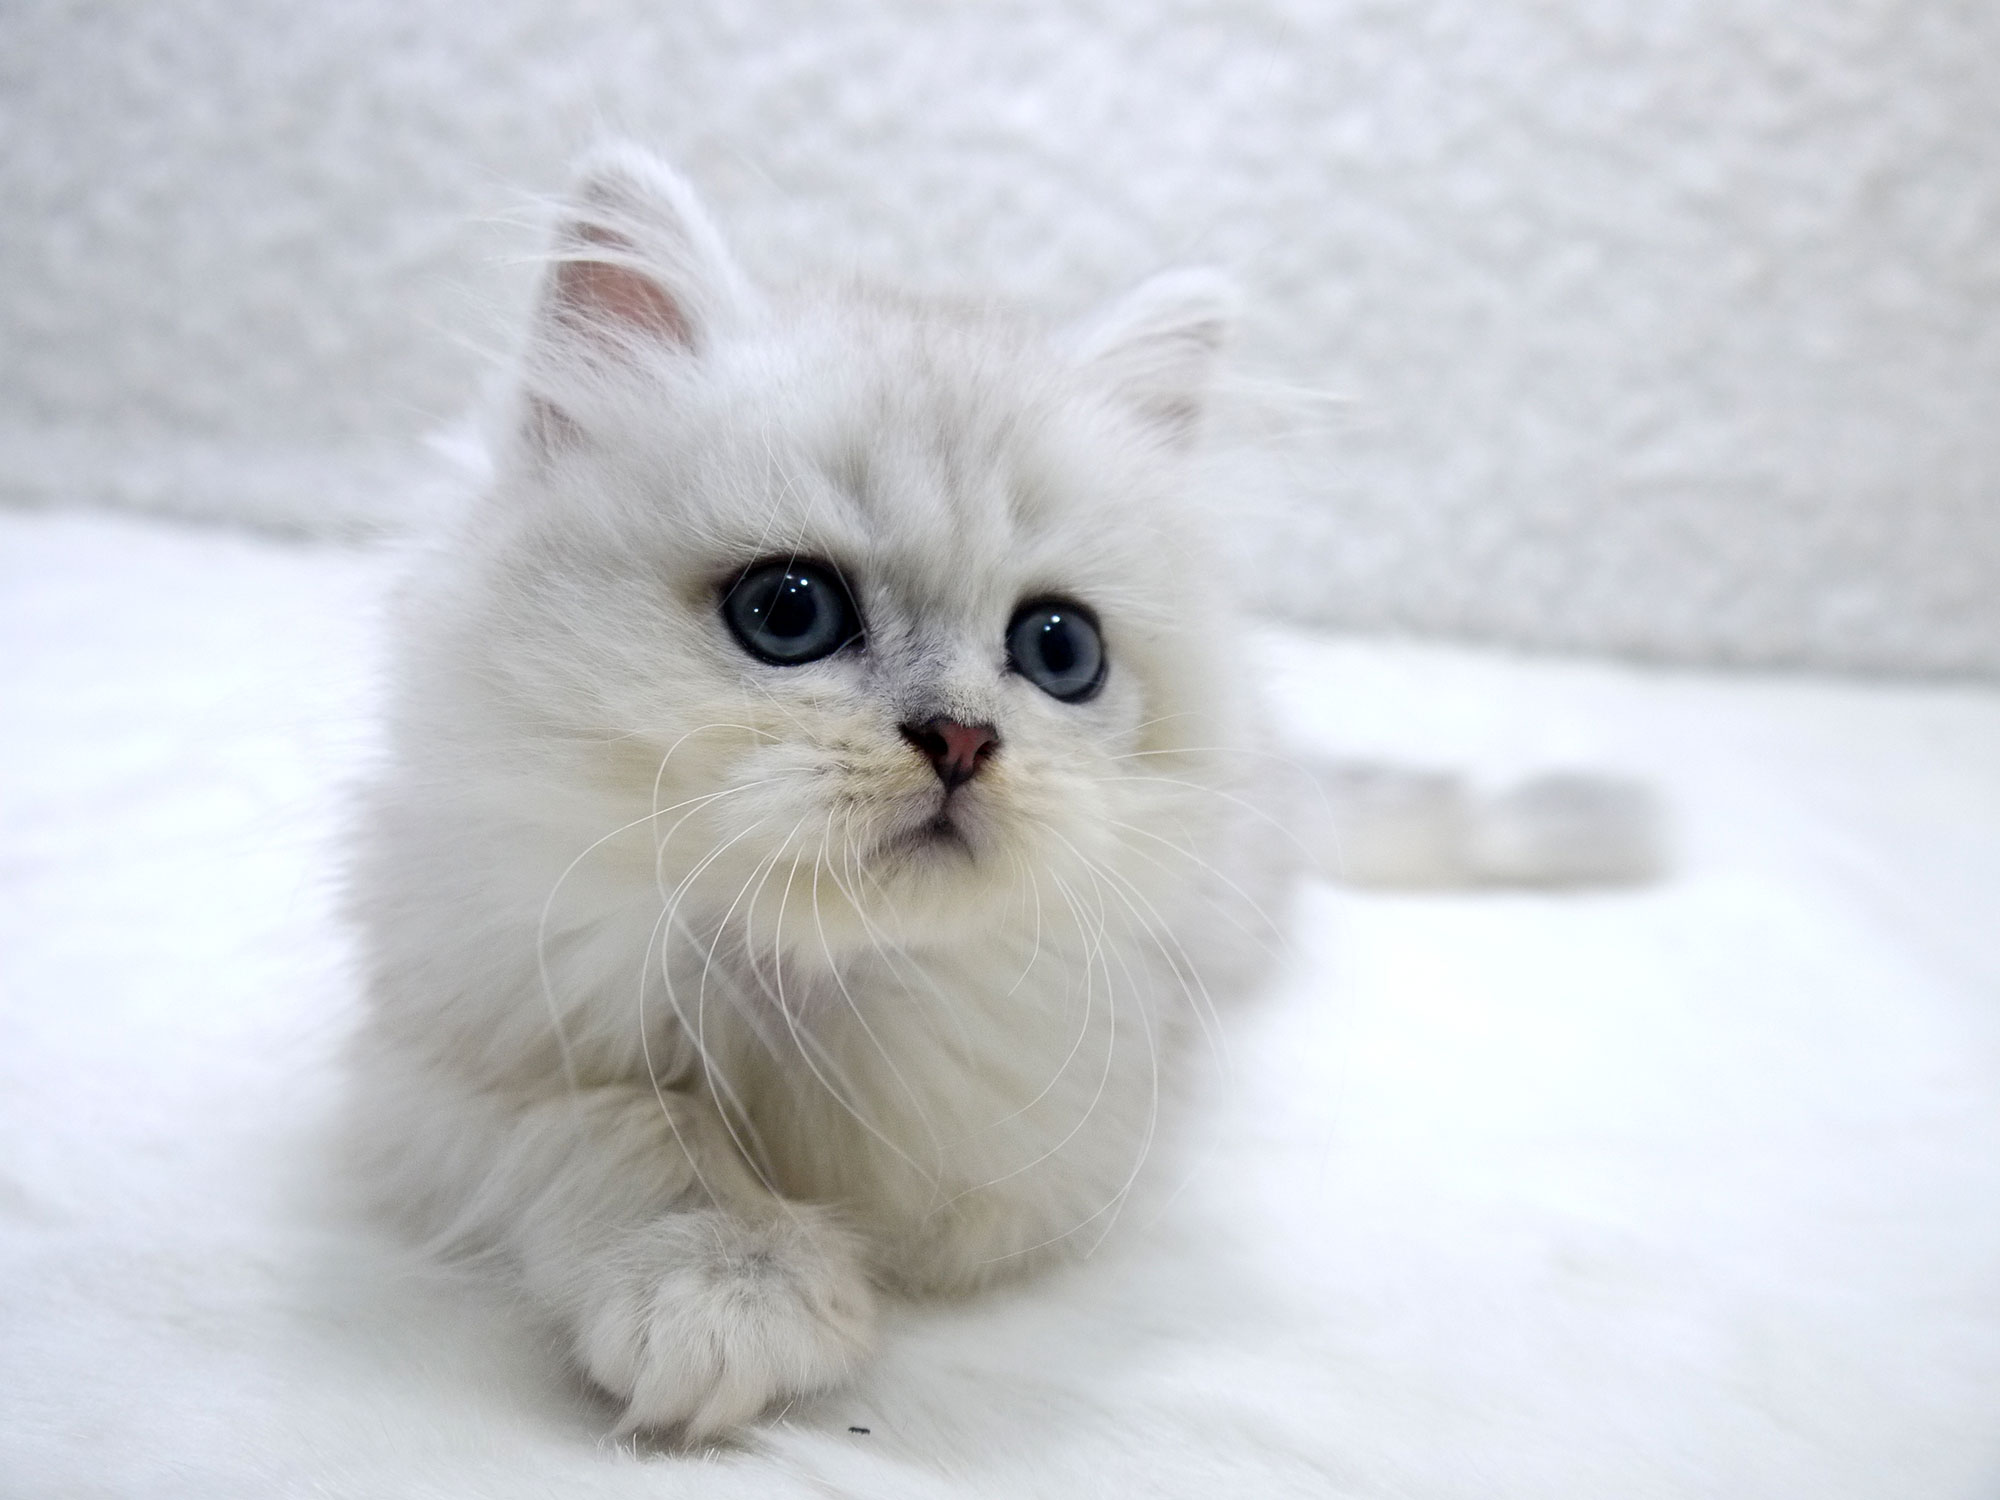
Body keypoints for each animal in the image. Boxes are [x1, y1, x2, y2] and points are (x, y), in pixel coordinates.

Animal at [344, 143, 1661, 1442]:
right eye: (787, 612)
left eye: (1058, 650)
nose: (960, 739)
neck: (811, 985)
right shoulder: (433, 1068)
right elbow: (616, 1116)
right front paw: (724, 1282)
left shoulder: (1056, 1141)